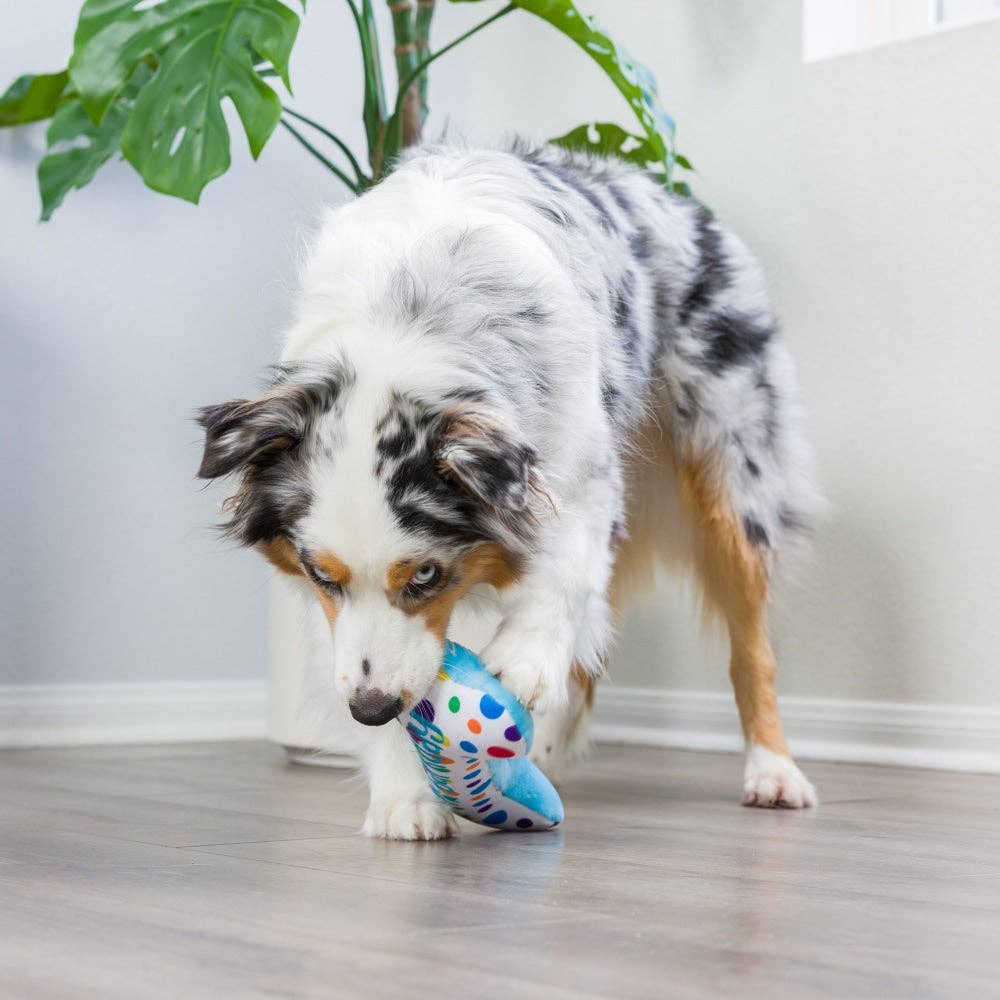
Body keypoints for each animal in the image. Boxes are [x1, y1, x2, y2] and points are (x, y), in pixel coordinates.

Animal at [197, 141, 820, 840]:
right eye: (322, 577)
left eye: (425, 576)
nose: (369, 709)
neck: (406, 328)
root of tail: (658, 186)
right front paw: (403, 798)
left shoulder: (580, 466)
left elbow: (565, 568)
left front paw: (524, 659)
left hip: (734, 477)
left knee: (752, 647)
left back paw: (774, 772)